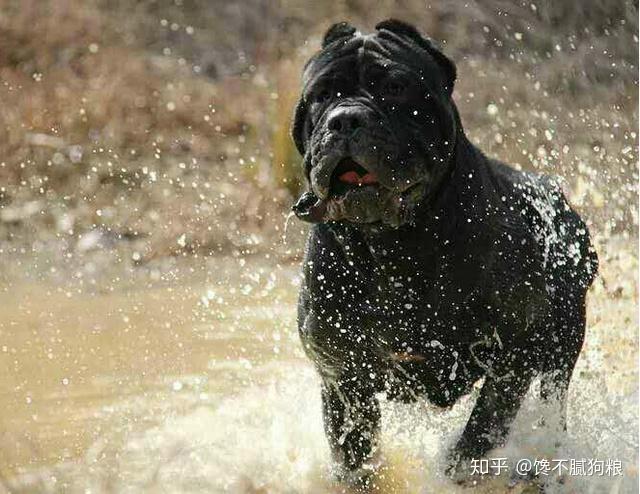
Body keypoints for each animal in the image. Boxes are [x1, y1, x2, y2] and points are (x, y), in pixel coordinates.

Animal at [288, 20, 596, 482]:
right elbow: (354, 455)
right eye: (322, 95)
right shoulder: (343, 376)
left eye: (395, 87)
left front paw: (457, 469)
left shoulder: (514, 354)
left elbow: (482, 429)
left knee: (550, 406)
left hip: (560, 344)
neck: (392, 246)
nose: (345, 119)